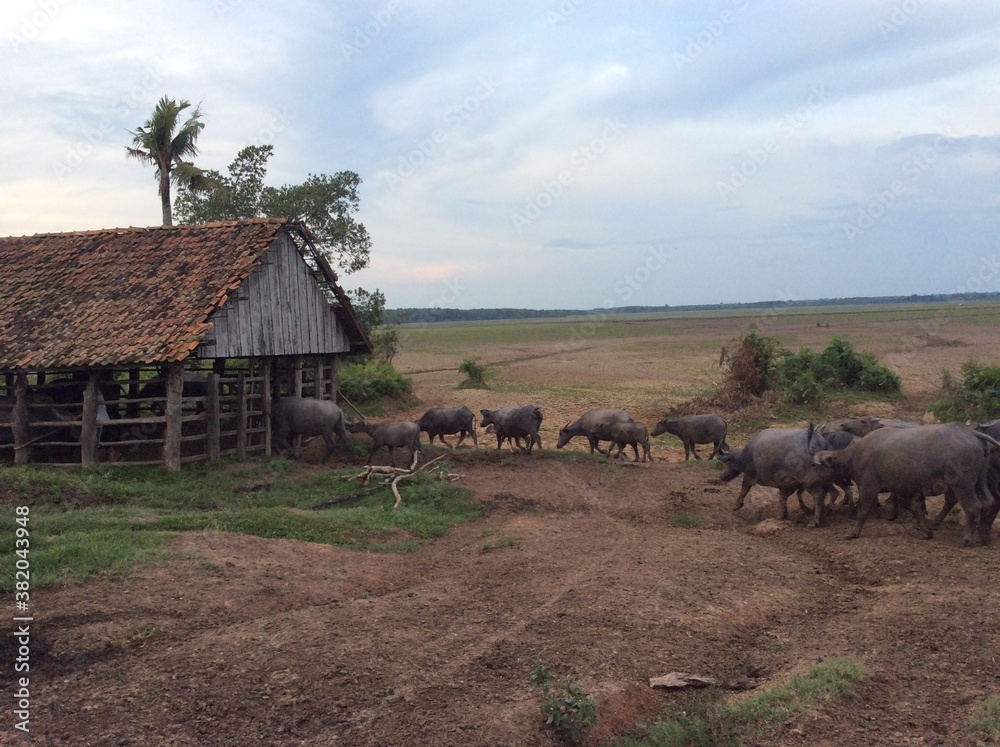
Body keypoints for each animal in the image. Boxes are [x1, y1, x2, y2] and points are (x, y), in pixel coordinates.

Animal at [812, 424, 1000, 548]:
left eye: (816, 464)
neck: (857, 454)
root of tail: (971, 432)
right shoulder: (904, 490)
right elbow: (916, 509)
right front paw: (927, 532)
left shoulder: (868, 487)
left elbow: (863, 511)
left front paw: (853, 533)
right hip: (978, 483)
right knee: (987, 503)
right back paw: (982, 534)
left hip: (962, 485)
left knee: (973, 507)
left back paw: (966, 539)